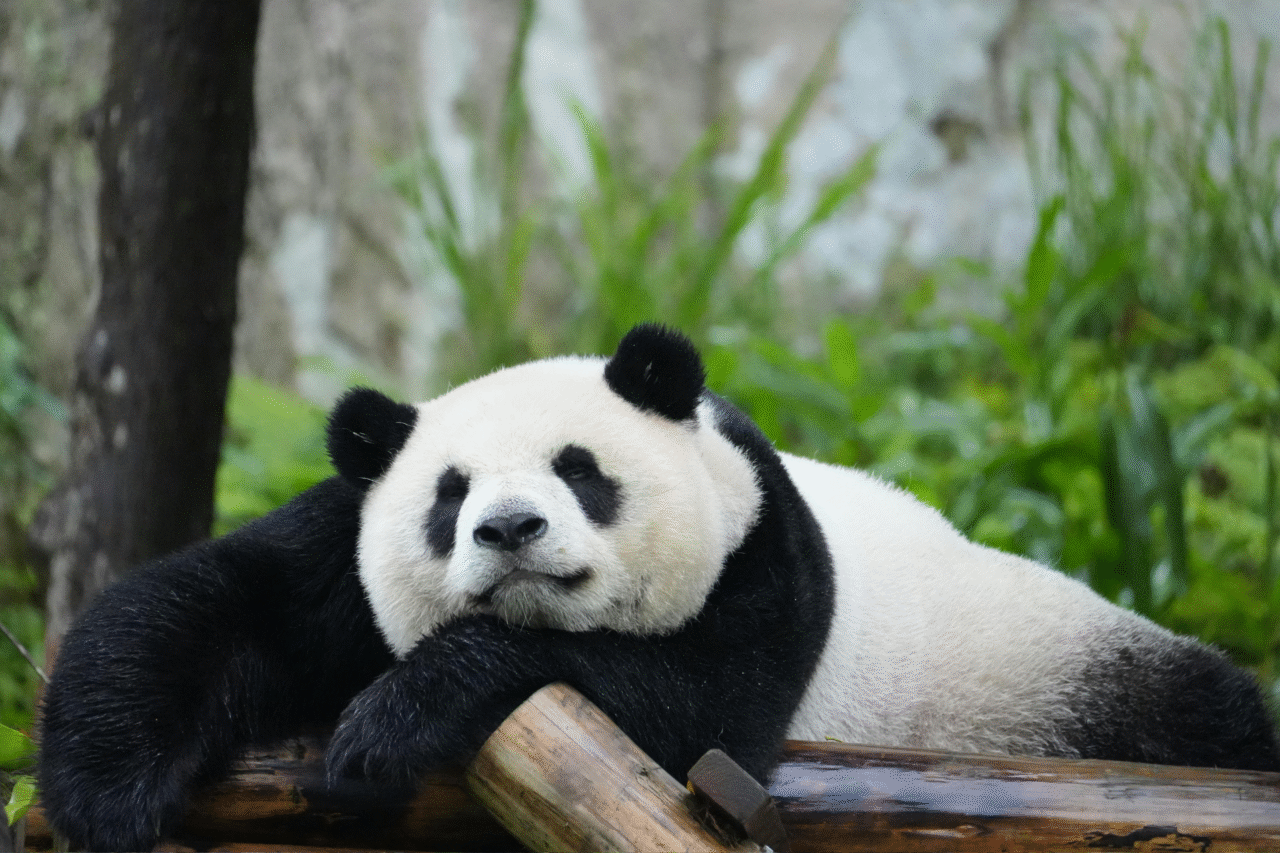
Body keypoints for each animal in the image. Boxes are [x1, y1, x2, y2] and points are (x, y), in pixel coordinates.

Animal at [39, 323, 1280, 851]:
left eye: (580, 470)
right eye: (448, 493)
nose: (508, 529)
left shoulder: (765, 557)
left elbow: (680, 712)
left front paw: (393, 721)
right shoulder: (337, 549)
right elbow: (208, 604)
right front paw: (105, 795)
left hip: (1060, 677)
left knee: (1209, 718)